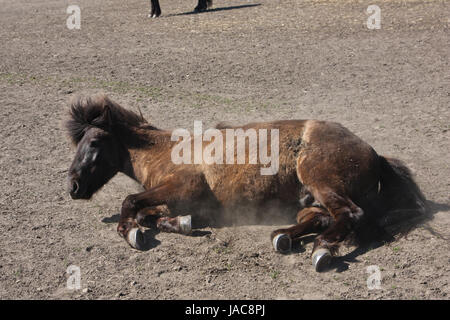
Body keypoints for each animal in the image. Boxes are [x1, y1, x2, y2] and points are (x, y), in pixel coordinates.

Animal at [66, 94, 426, 272]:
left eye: (94, 142)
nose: (73, 187)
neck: (165, 151)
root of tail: (374, 153)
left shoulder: (184, 186)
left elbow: (130, 202)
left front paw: (132, 233)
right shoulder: (174, 200)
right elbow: (148, 212)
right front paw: (181, 223)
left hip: (320, 180)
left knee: (350, 215)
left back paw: (321, 249)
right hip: (309, 200)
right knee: (322, 218)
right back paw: (284, 237)